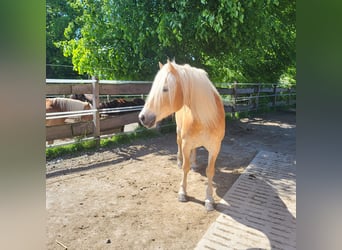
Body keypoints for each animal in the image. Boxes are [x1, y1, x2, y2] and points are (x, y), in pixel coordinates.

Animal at [138, 60, 226, 211]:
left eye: (165, 89)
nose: (143, 117)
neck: (207, 118)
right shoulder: (186, 144)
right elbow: (185, 167)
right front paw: (182, 193)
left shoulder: (215, 147)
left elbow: (210, 171)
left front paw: (209, 199)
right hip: (179, 133)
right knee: (178, 145)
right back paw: (179, 161)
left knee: (195, 150)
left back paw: (195, 164)